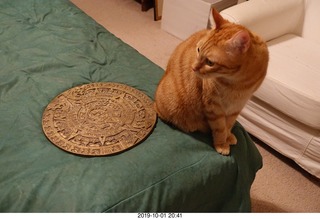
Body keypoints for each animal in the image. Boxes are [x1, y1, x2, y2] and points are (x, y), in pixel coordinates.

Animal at [154, 8, 268, 155]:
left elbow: (229, 124)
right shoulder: (213, 107)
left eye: (210, 62)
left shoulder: (237, 106)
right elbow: (220, 128)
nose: (193, 68)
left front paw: (228, 137)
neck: (238, 84)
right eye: (198, 50)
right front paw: (221, 144)